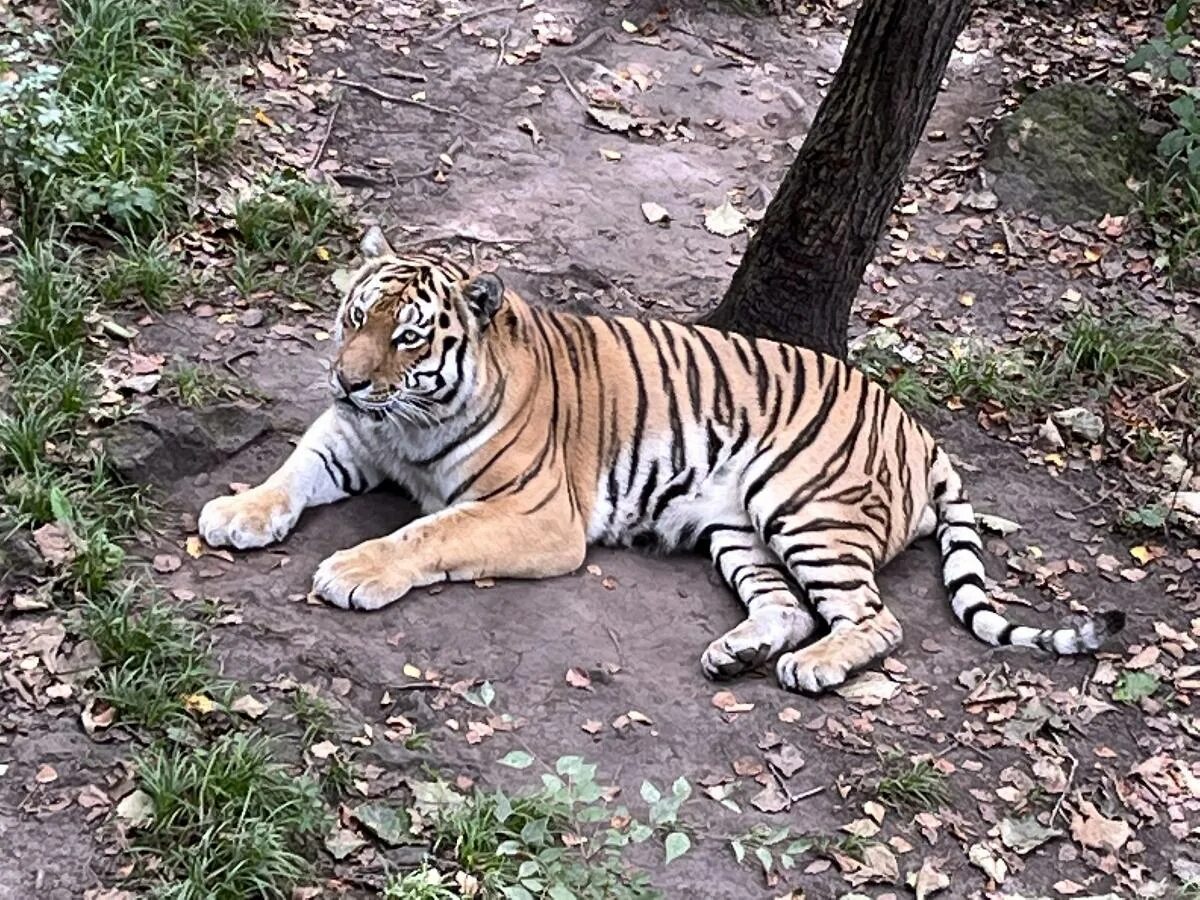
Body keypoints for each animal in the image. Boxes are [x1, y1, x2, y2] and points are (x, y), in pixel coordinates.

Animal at [196, 229, 1123, 696]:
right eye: (356, 318)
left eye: (410, 338)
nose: (347, 380)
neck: (410, 422)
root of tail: (920, 430)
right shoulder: (350, 437)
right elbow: (292, 470)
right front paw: (236, 511)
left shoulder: (536, 516)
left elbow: (427, 534)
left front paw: (353, 570)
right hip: (735, 529)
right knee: (789, 607)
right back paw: (737, 653)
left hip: (805, 507)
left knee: (875, 618)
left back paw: (814, 668)